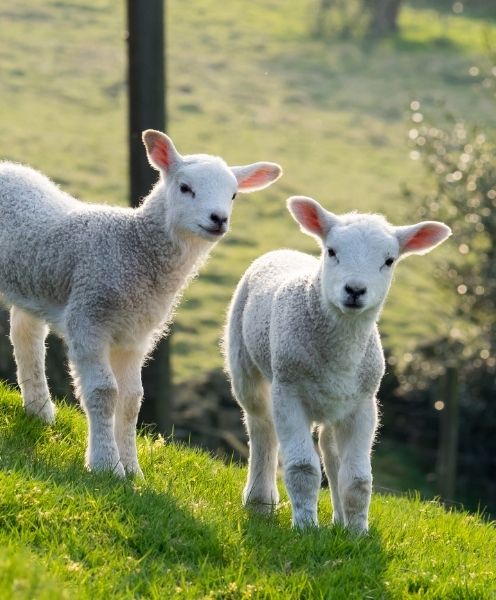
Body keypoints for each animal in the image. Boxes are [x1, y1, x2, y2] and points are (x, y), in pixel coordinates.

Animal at [0, 131, 280, 478]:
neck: (134, 247)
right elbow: (104, 392)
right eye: (185, 188)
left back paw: (39, 410)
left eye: (233, 195)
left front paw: (132, 470)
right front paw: (106, 465)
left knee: (26, 333)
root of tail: (8, 166)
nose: (218, 219)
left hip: (32, 279)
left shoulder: (135, 335)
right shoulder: (88, 317)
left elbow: (132, 401)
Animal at [227, 197, 452, 528]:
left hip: (335, 401)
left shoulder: (363, 404)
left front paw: (357, 531)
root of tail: (284, 252)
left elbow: (357, 479)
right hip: (245, 364)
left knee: (329, 447)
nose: (355, 290)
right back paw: (259, 500)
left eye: (389, 261)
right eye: (332, 251)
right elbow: (303, 468)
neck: (339, 352)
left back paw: (339, 519)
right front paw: (305, 527)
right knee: (261, 426)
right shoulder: (289, 391)